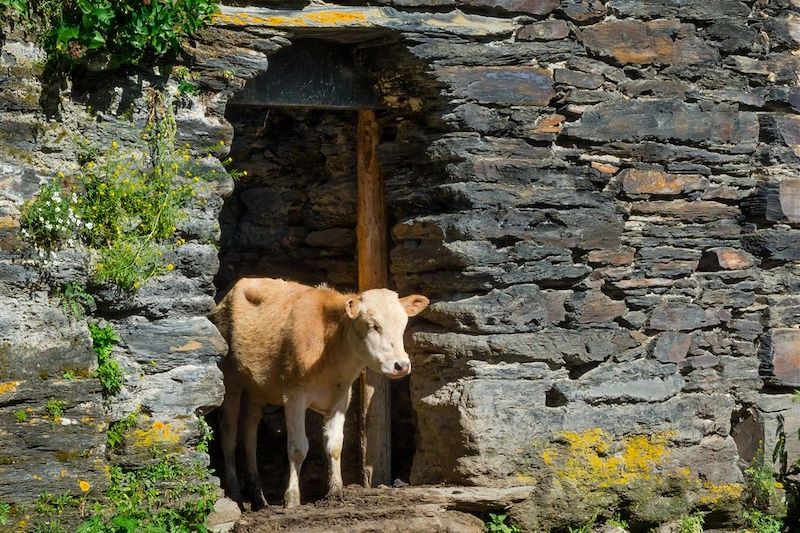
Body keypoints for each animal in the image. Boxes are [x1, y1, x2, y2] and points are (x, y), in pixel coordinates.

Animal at [209, 278, 428, 508]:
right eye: (373, 325)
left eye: (403, 324)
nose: (401, 365)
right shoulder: (294, 395)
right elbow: (297, 448)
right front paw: (292, 499)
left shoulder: (341, 398)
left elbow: (335, 445)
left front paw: (336, 492)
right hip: (230, 379)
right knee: (229, 434)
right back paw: (235, 493)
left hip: (256, 389)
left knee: (249, 435)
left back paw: (259, 498)